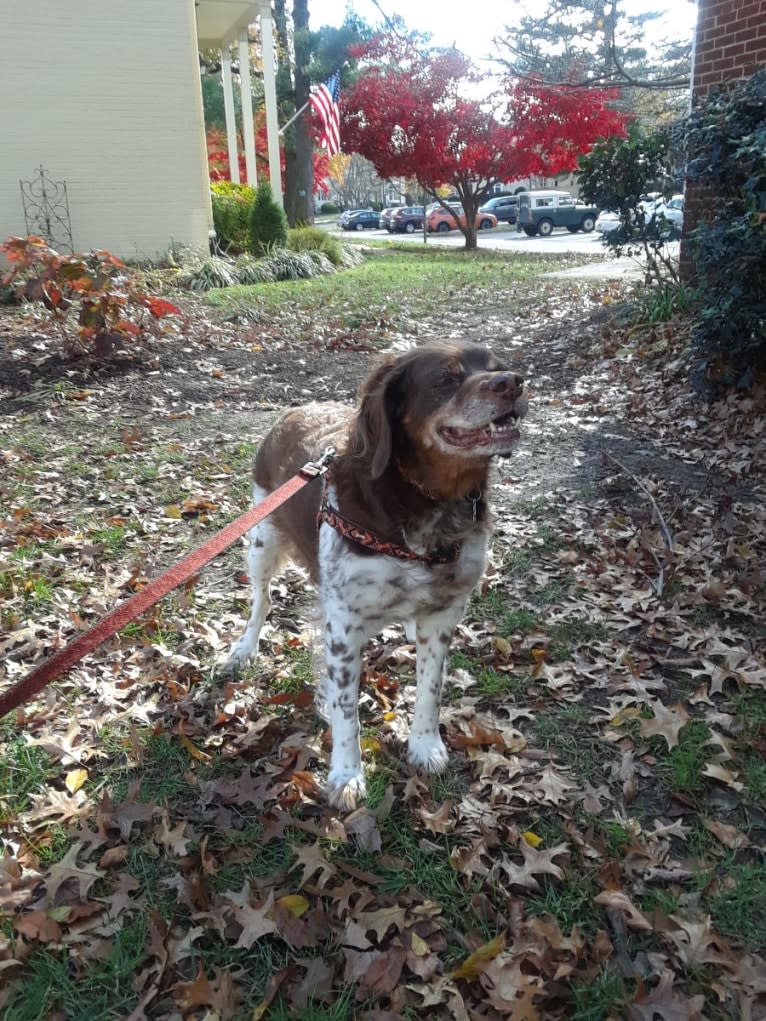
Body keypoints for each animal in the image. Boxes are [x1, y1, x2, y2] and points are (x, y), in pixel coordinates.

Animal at [224, 341, 531, 804]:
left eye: (497, 367)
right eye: (446, 378)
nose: (512, 383)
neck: (426, 503)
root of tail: (295, 410)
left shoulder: (444, 613)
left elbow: (430, 688)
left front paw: (425, 745)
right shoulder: (343, 628)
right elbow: (345, 709)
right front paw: (347, 774)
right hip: (261, 541)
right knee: (261, 601)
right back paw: (244, 648)